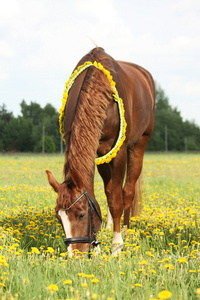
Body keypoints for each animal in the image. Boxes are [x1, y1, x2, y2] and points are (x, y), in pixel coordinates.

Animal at [45, 47, 155, 255]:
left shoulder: (118, 153)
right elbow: (107, 195)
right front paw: (97, 248)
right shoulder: (97, 153)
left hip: (139, 144)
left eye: (81, 214)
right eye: (58, 217)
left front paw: (116, 246)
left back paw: (126, 232)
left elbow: (117, 201)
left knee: (127, 191)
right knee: (110, 189)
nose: (75, 256)